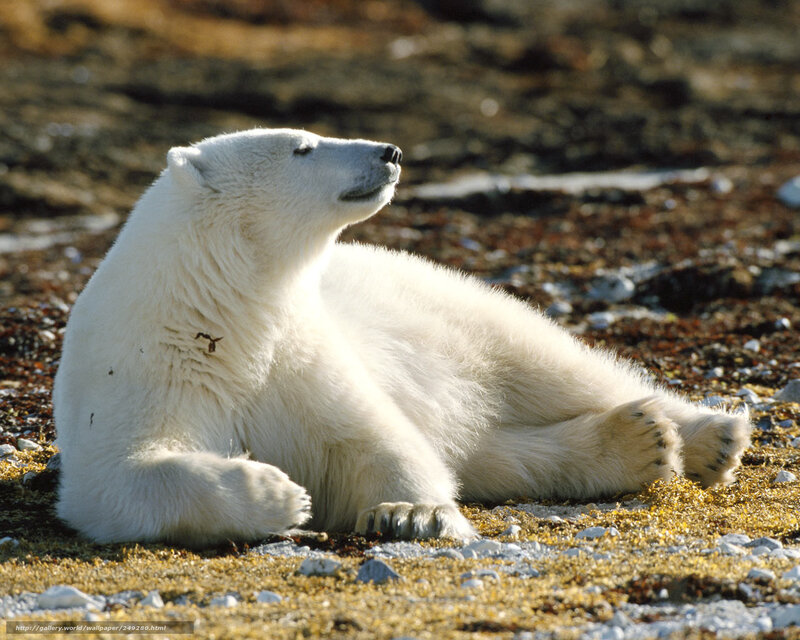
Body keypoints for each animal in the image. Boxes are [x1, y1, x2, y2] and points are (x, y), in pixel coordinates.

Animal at [53, 128, 752, 546]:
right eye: (303, 147)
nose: (388, 151)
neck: (222, 315)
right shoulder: (143, 370)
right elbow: (120, 478)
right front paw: (279, 493)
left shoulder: (299, 354)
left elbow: (377, 437)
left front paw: (408, 513)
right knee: (497, 452)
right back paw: (638, 441)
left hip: (452, 307)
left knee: (552, 366)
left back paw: (708, 435)